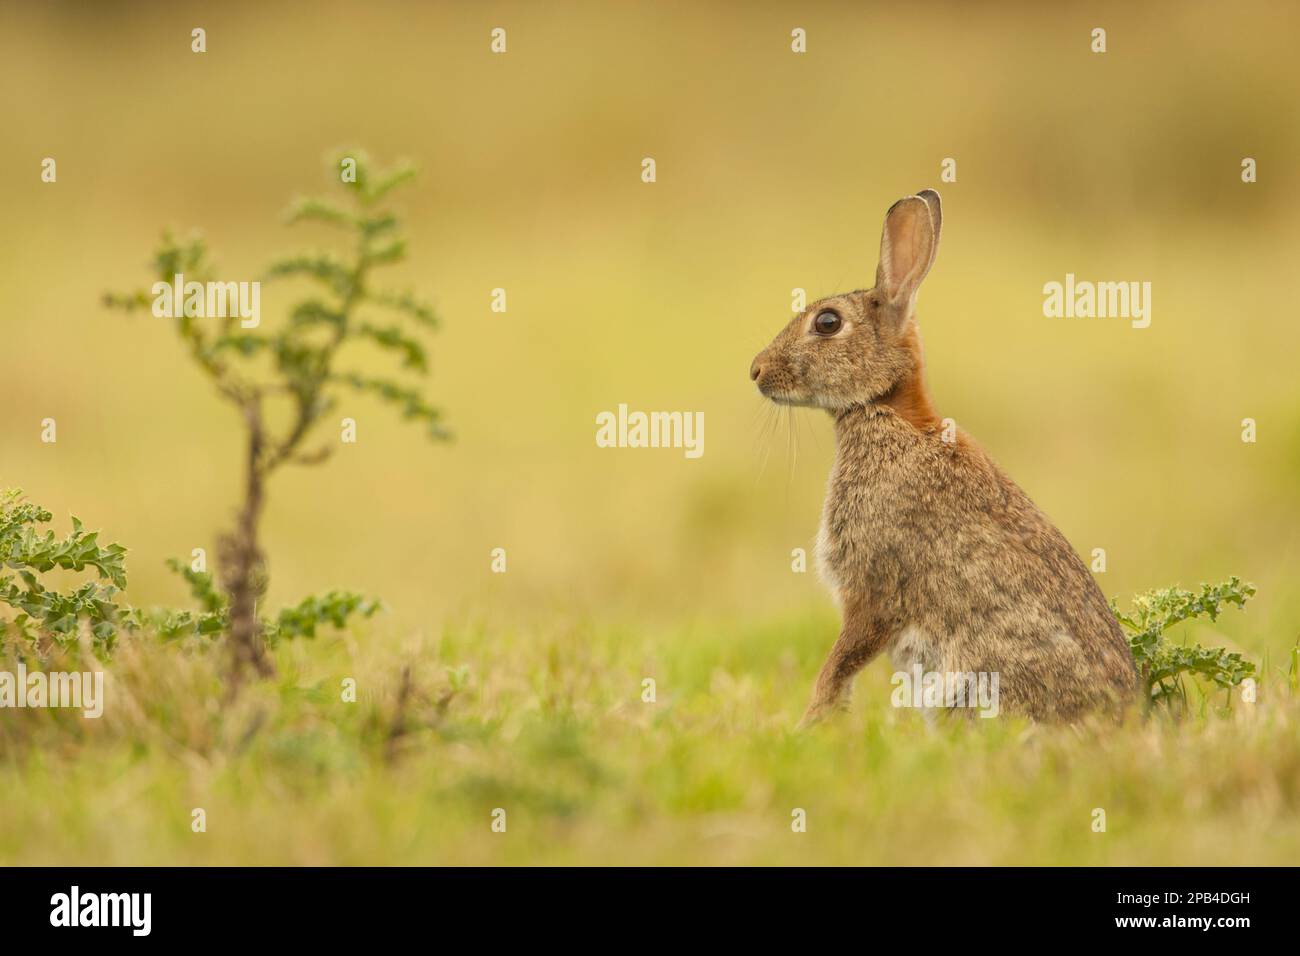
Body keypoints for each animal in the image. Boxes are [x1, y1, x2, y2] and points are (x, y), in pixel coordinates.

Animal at [749, 189, 1137, 726]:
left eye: (827, 322)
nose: (755, 370)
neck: (888, 409)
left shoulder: (874, 588)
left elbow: (841, 663)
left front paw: (810, 722)